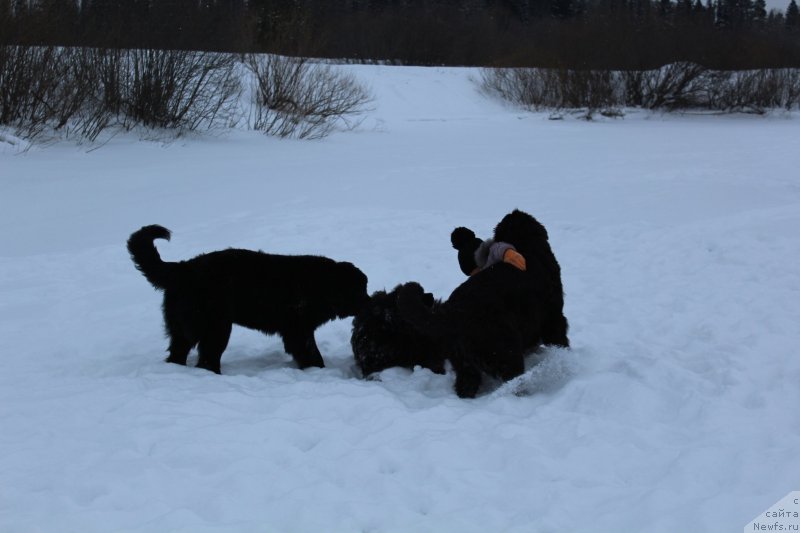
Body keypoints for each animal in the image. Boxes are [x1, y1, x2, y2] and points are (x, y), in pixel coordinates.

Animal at [128, 224, 368, 374]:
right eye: (360, 290)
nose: (370, 301)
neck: (322, 285)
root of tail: (182, 268)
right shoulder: (298, 331)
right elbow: (311, 354)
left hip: (185, 329)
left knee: (179, 354)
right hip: (215, 327)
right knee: (207, 358)